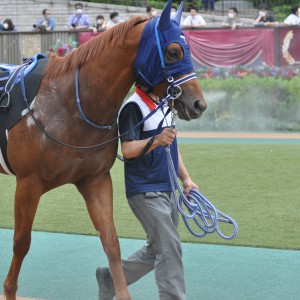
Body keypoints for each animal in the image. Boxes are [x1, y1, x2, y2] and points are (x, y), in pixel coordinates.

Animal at [0, 1, 206, 298]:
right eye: (173, 51)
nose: (199, 104)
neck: (66, 105)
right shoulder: (28, 183)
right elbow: (21, 241)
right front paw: (9, 290)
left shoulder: (95, 179)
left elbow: (111, 241)